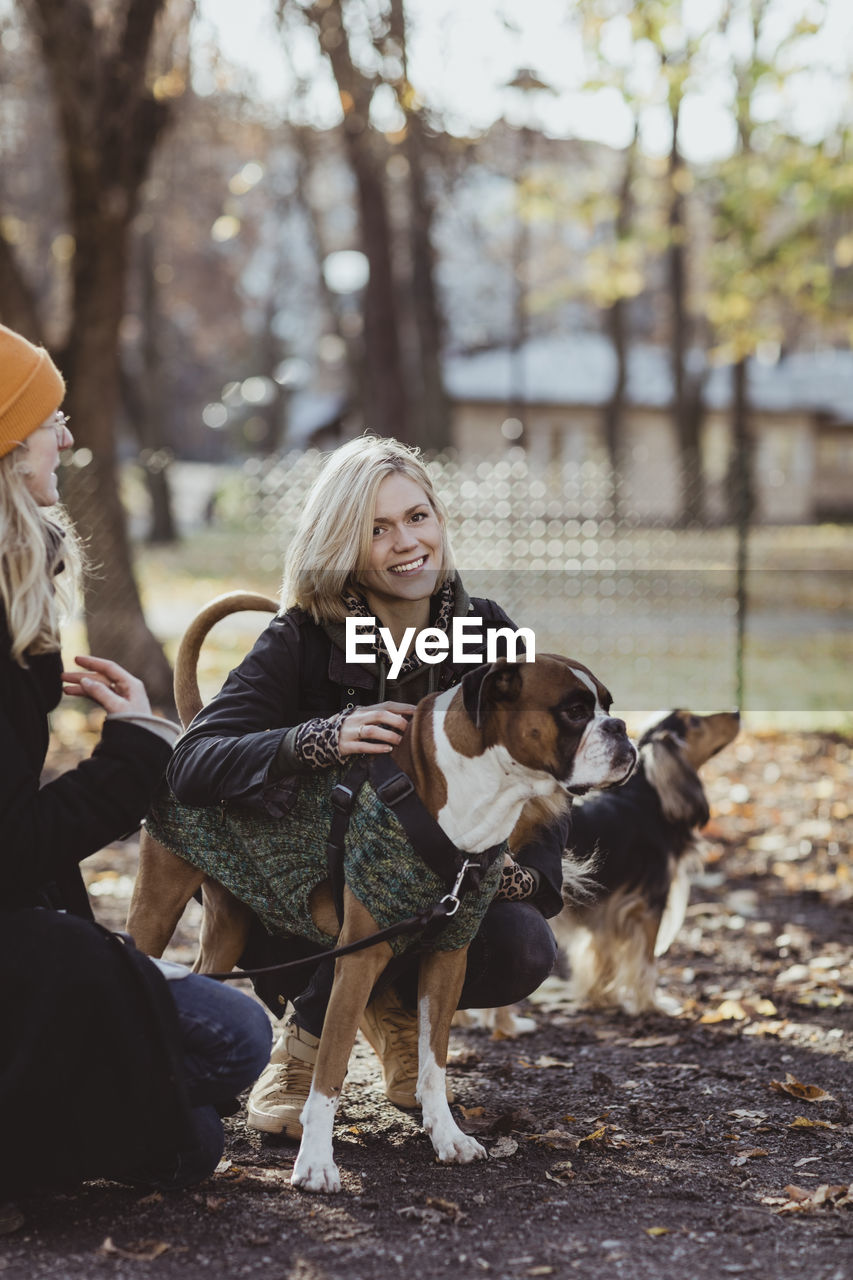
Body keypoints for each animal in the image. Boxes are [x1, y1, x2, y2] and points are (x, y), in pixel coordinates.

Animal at [122, 593, 635, 1192]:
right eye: (573, 711)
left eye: (606, 704)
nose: (621, 727)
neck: (472, 787)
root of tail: (191, 727)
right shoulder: (359, 958)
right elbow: (328, 1071)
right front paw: (315, 1163)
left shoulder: (448, 954)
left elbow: (435, 1060)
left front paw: (447, 1136)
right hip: (158, 905)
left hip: (229, 924)